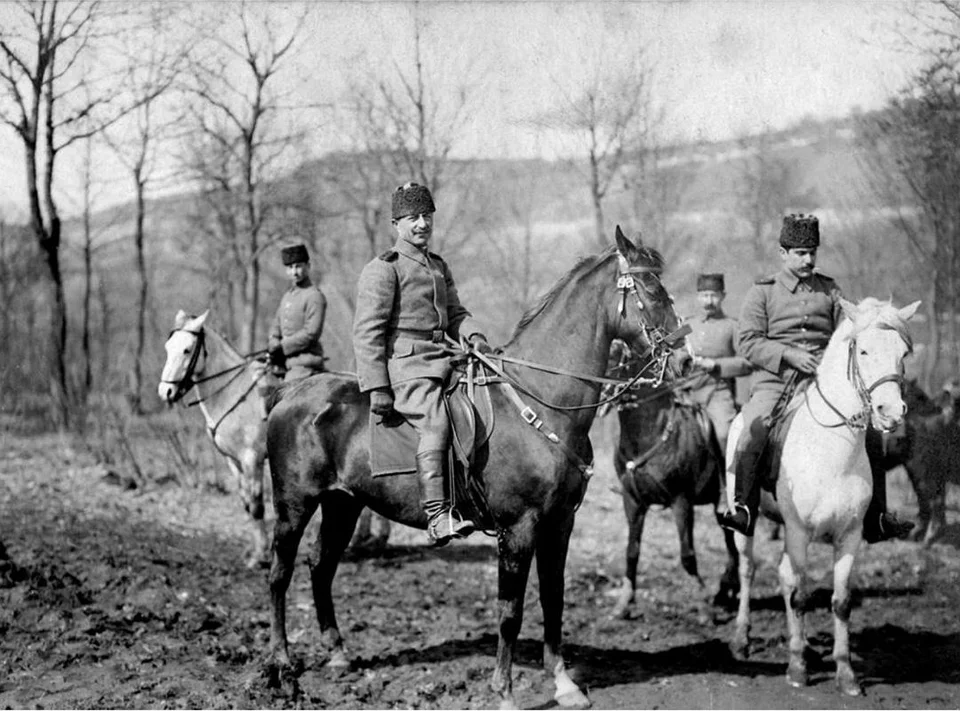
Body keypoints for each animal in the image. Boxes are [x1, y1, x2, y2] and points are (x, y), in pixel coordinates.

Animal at [262, 229, 688, 711]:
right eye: (651, 290)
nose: (687, 361)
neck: (540, 399)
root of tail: (292, 392)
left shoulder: (560, 524)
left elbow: (554, 598)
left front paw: (563, 683)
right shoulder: (518, 529)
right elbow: (510, 611)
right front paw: (504, 692)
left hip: (342, 505)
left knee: (321, 566)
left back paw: (337, 653)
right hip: (294, 505)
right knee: (280, 574)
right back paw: (281, 663)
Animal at [604, 342, 740, 620]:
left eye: (613, 356)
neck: (649, 434)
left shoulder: (681, 501)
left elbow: (688, 555)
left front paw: (701, 603)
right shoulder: (633, 502)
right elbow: (632, 552)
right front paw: (624, 603)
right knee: (730, 542)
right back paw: (727, 591)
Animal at [728, 298, 924, 700]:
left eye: (903, 353)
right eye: (863, 351)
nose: (891, 413)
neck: (832, 450)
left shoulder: (850, 536)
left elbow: (840, 601)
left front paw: (845, 673)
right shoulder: (799, 532)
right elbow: (801, 596)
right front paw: (798, 668)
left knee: (784, 576)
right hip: (747, 526)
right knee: (749, 570)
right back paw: (742, 639)